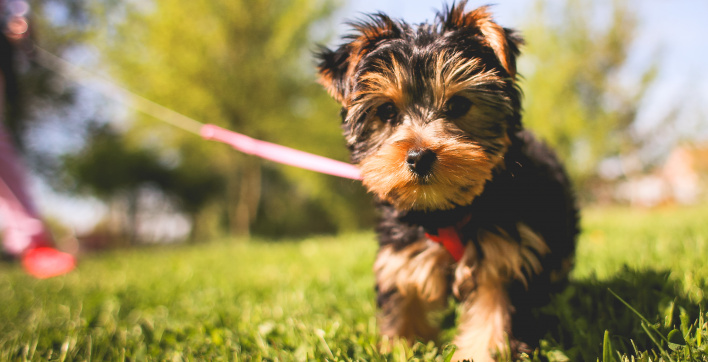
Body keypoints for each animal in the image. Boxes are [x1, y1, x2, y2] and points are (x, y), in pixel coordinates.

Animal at [318, 1, 580, 360]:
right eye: (387, 112)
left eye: (458, 105)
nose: (419, 157)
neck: (446, 212)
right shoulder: (401, 257)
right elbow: (402, 307)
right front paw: (399, 344)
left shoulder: (506, 258)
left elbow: (493, 319)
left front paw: (483, 351)